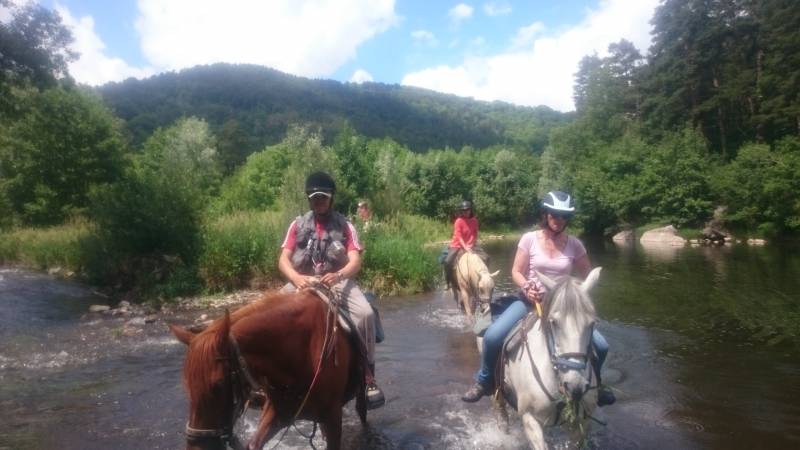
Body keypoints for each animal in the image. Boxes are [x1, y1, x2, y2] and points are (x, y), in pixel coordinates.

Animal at [172, 290, 368, 450]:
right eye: (187, 385)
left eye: (218, 384)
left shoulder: (333, 416)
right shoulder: (276, 411)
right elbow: (254, 444)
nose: (196, 447)